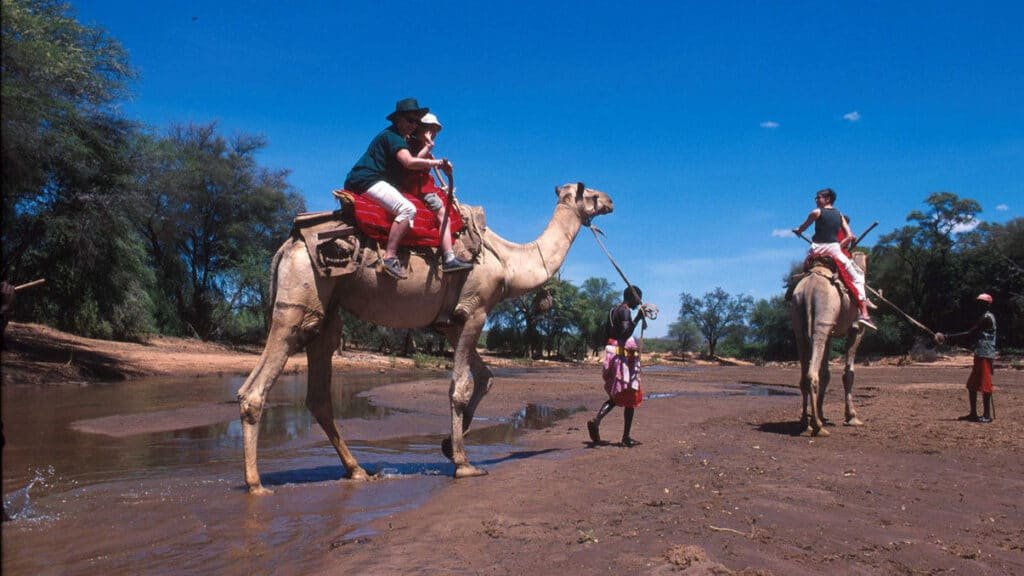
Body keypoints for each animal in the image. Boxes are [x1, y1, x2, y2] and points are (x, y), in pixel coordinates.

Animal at [237, 182, 613, 494]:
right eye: (592, 194)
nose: (611, 201)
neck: (507, 261)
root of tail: (287, 246)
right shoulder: (475, 310)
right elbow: (461, 386)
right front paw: (463, 463)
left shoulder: (451, 323)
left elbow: (486, 377)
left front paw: (448, 445)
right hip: (299, 300)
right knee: (256, 387)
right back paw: (256, 484)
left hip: (327, 311)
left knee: (319, 393)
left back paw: (357, 470)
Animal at [790, 252, 868, 436]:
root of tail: (809, 289)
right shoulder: (856, 329)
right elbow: (848, 373)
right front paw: (852, 417)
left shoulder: (830, 334)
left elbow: (826, 373)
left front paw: (822, 414)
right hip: (823, 317)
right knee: (812, 374)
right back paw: (818, 427)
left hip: (800, 320)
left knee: (805, 373)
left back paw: (805, 423)